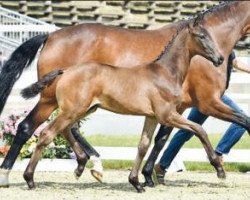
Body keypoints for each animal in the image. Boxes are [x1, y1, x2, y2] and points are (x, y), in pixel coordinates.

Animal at [0, 0, 250, 188]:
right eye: (202, 36)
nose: (219, 59)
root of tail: (50, 36)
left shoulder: (177, 108)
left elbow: (158, 140)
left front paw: (148, 176)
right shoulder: (207, 103)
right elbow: (236, 123)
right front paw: (217, 167)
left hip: (76, 104)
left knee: (65, 128)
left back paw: (87, 164)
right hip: (51, 99)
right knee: (31, 127)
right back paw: (11, 175)